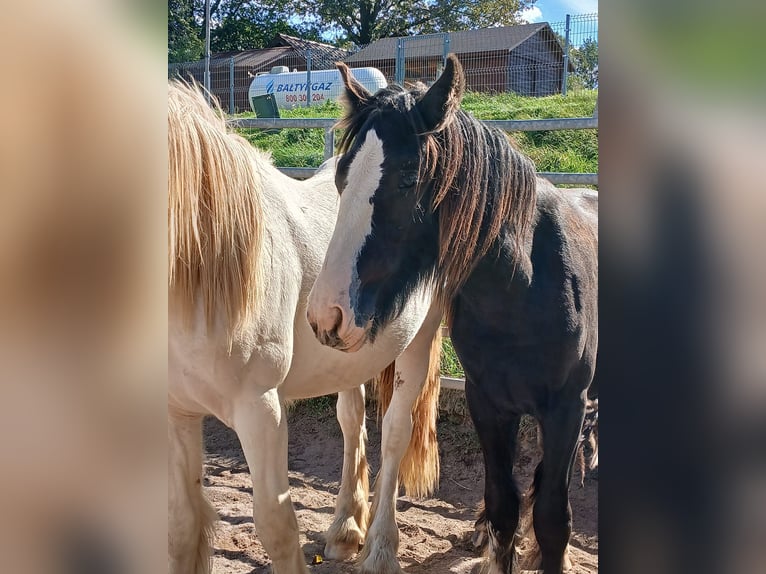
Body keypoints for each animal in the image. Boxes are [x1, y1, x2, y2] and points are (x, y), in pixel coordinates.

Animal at [168, 82, 444, 574]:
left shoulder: (260, 410)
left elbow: (276, 526)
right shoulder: (179, 413)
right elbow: (183, 526)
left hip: (419, 339)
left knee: (396, 433)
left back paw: (379, 549)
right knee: (352, 422)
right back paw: (345, 530)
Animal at [308, 55, 596, 574]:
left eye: (406, 179)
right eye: (341, 178)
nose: (327, 314)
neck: (524, 288)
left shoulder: (567, 406)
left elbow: (552, 518)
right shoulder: (489, 402)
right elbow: (504, 503)